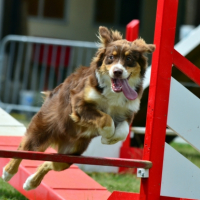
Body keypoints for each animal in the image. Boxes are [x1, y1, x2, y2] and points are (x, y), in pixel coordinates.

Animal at [1, 25, 155, 190]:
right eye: (110, 57)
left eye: (129, 59)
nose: (117, 71)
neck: (113, 93)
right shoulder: (79, 103)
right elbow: (106, 118)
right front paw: (107, 135)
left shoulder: (128, 112)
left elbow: (123, 131)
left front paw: (109, 140)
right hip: (40, 134)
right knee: (23, 148)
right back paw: (8, 172)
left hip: (69, 155)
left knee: (49, 163)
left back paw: (30, 183)